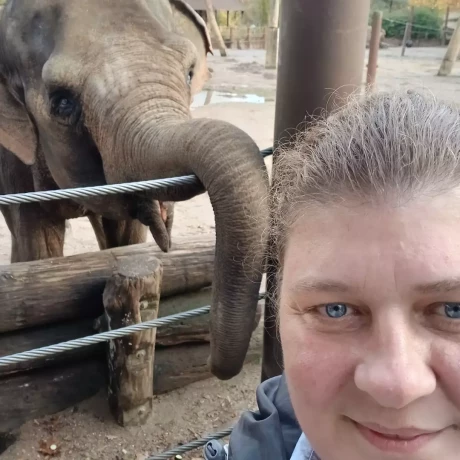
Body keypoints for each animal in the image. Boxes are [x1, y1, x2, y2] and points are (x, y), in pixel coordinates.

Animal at [0, 0, 269, 380]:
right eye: (63, 103)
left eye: (190, 74)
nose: (210, 361)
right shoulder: (12, 161)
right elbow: (37, 243)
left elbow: (125, 238)